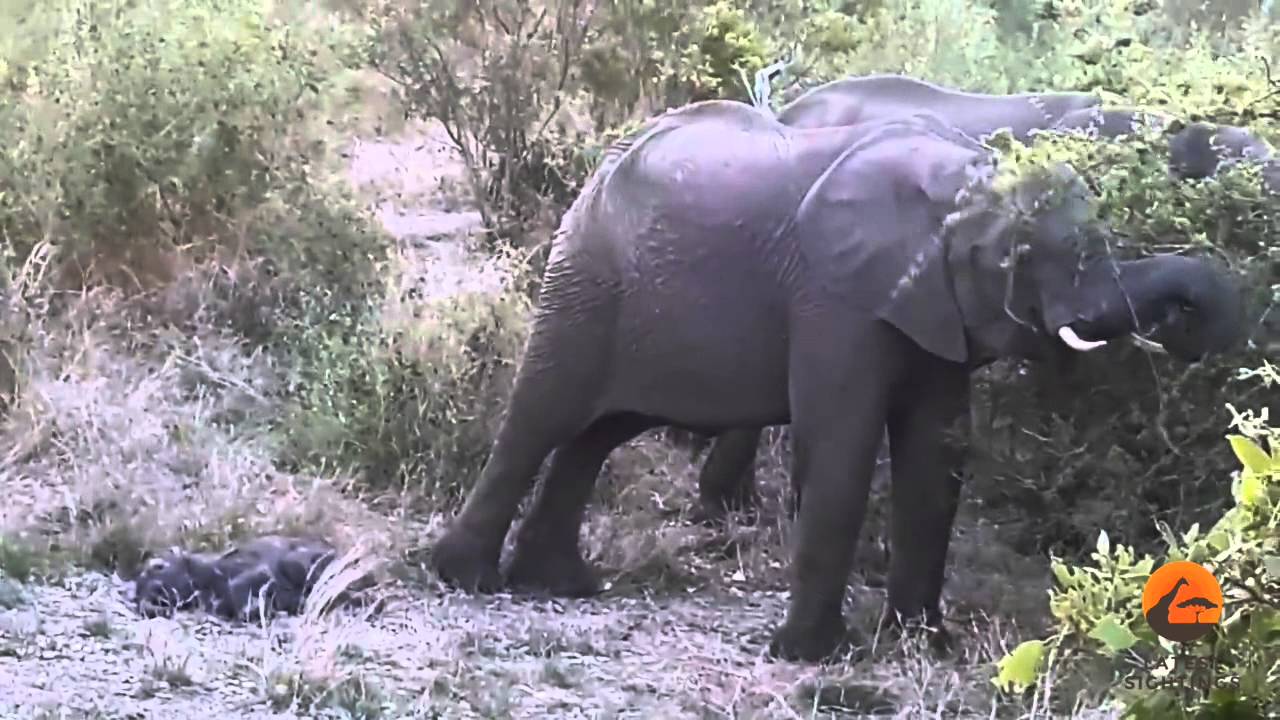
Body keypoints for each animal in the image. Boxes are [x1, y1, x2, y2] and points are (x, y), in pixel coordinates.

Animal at [429, 101, 1243, 662]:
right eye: (1022, 255)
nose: (1197, 332)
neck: (954, 175)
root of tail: (604, 164)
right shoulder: (836, 295)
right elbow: (842, 443)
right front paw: (812, 656)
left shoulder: (928, 306)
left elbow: (936, 458)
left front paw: (922, 645)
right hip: (587, 280)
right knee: (542, 416)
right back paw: (463, 579)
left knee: (599, 432)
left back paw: (560, 584)